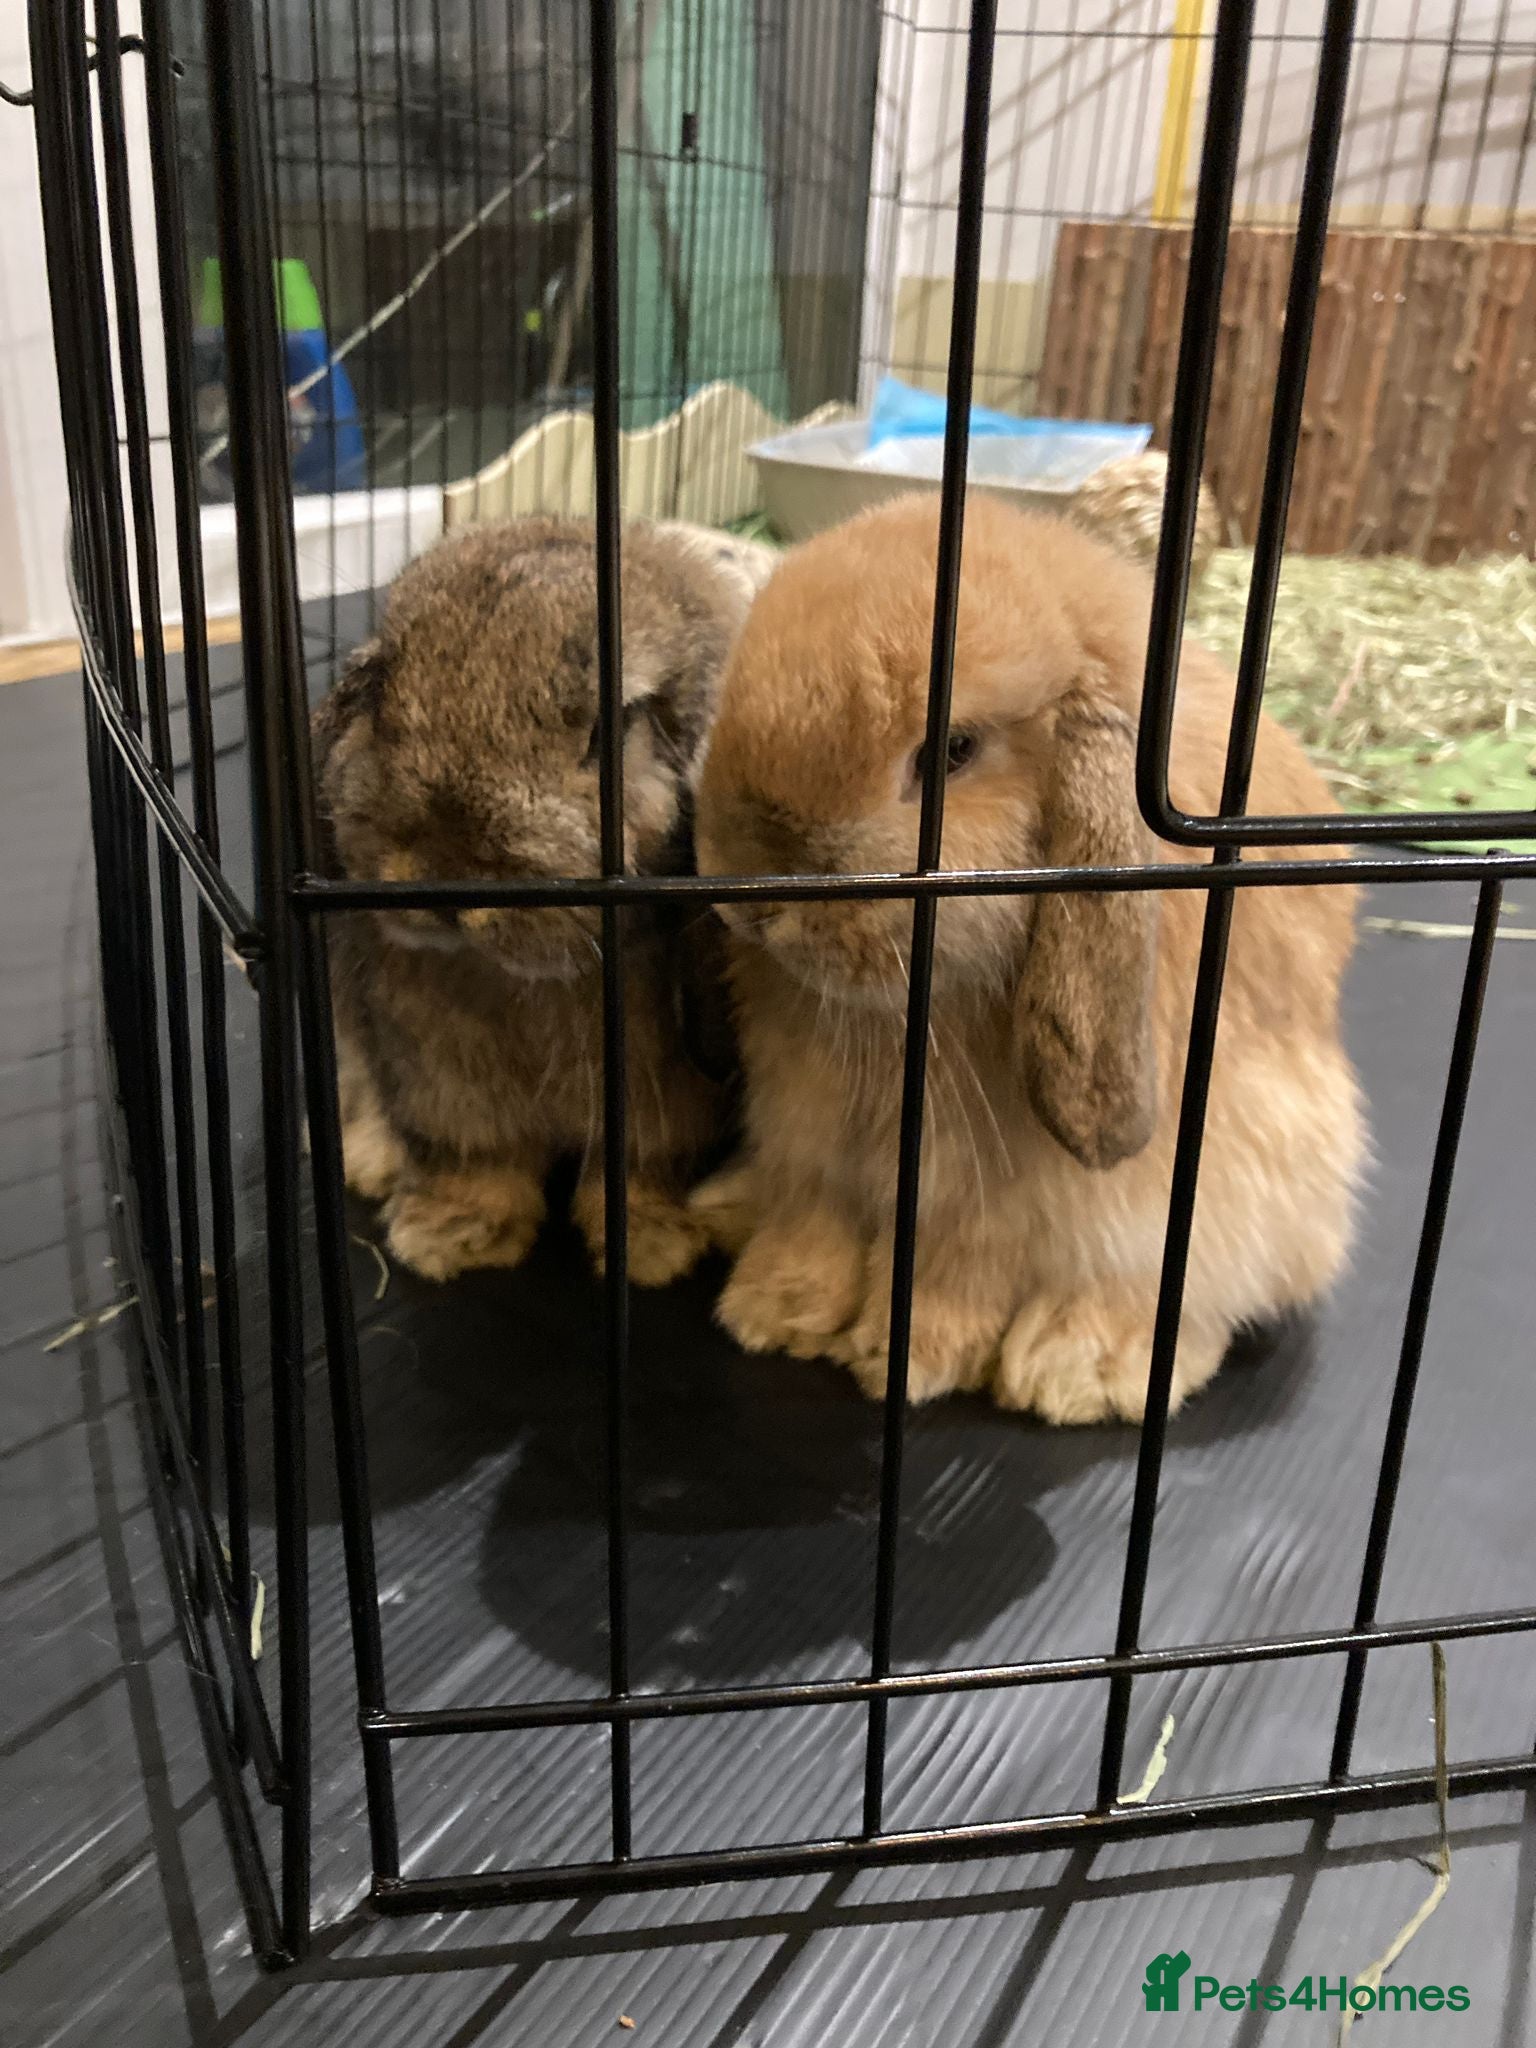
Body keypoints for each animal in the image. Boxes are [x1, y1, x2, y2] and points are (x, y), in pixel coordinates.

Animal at [315, 514, 773, 1285]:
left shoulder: (661, 1106)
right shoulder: (444, 1088)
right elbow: (477, 1162)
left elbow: (638, 1172)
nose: (446, 874)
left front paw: (652, 1250)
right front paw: (450, 1238)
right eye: (378, 692)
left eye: (609, 731)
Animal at [689, 493, 1365, 1423]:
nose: (751, 897)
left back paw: (1082, 1367)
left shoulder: (991, 1198)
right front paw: (773, 1310)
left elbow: (954, 1273)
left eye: (952, 752)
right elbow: (814, 1221)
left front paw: (902, 1357)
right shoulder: (812, 1141)